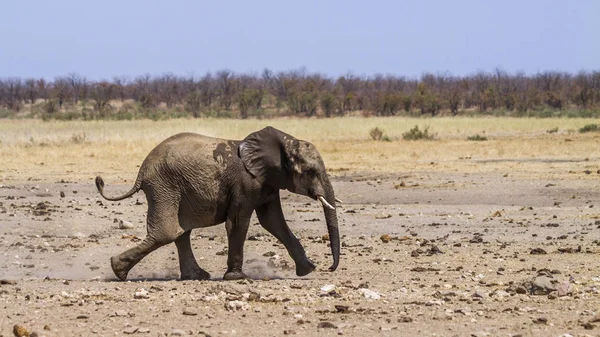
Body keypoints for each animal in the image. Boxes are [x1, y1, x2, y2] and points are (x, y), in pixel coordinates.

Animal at [94, 126, 338, 280]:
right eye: (310, 172)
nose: (329, 268)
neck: (283, 142)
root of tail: (142, 171)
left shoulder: (267, 182)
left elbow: (273, 222)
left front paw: (308, 270)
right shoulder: (245, 183)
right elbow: (238, 223)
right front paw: (237, 278)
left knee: (180, 233)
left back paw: (196, 276)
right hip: (163, 187)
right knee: (166, 233)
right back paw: (118, 270)